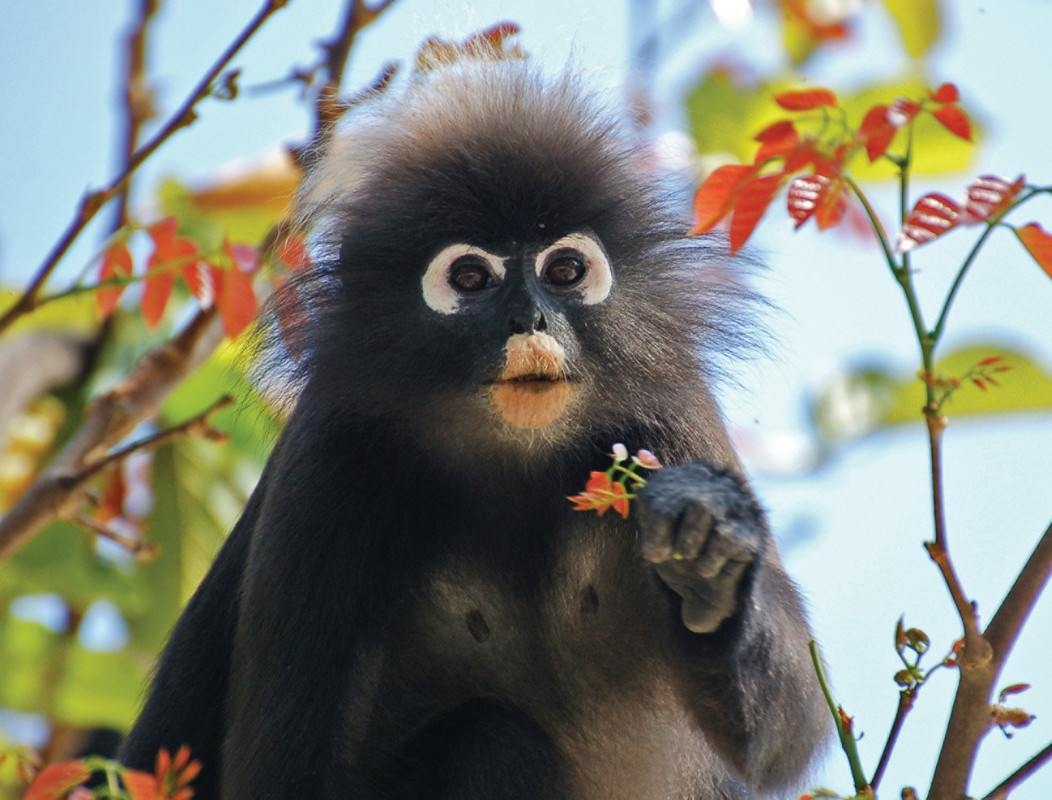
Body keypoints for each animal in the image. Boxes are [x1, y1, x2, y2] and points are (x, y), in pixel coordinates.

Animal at [120, 58, 830, 799]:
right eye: (469, 278)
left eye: (564, 270)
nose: (530, 320)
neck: (512, 454)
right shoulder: (329, 459)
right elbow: (281, 775)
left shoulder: (670, 412)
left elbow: (789, 732)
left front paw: (709, 551)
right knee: (489, 738)